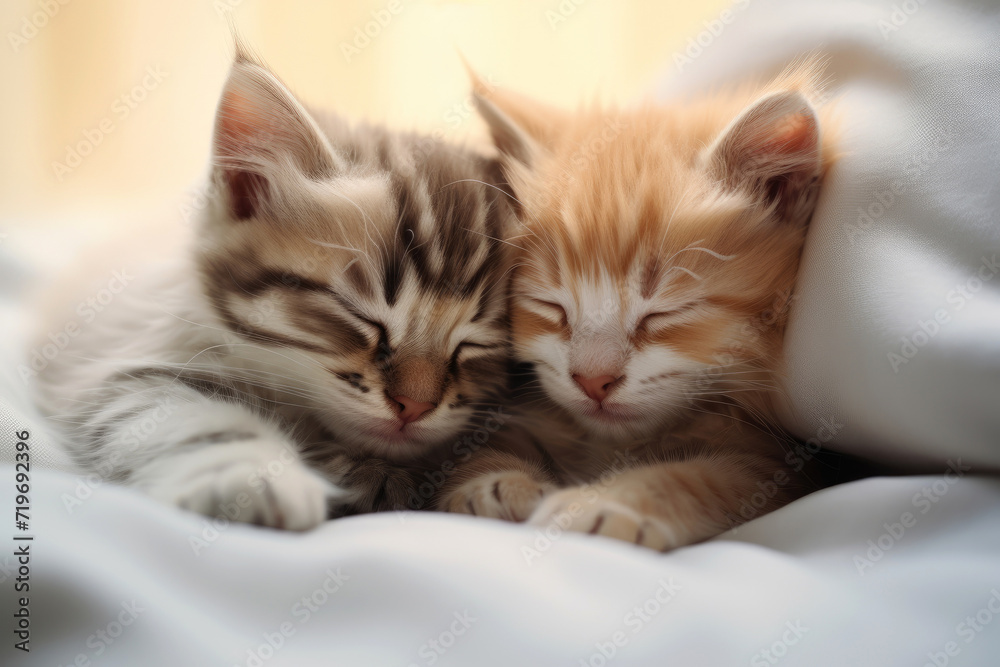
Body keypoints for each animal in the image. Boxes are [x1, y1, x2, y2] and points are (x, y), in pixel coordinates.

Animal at [31, 47, 516, 528]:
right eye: (361, 317)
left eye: (478, 344)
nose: (412, 407)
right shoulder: (121, 362)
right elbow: (195, 417)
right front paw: (247, 476)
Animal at [442, 60, 840, 552]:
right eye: (552, 307)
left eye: (663, 314)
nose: (593, 382)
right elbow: (501, 440)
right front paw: (493, 482)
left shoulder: (781, 466)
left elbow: (699, 478)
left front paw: (606, 504)